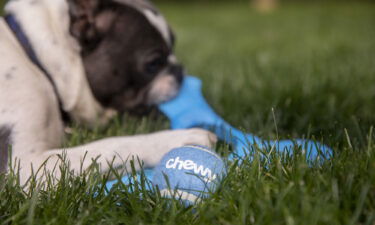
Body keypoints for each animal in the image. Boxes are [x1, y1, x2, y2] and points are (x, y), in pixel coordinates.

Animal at [0, 0, 217, 186]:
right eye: (153, 64)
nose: (179, 69)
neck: (36, 60)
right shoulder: (24, 167)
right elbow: (114, 145)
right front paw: (181, 138)